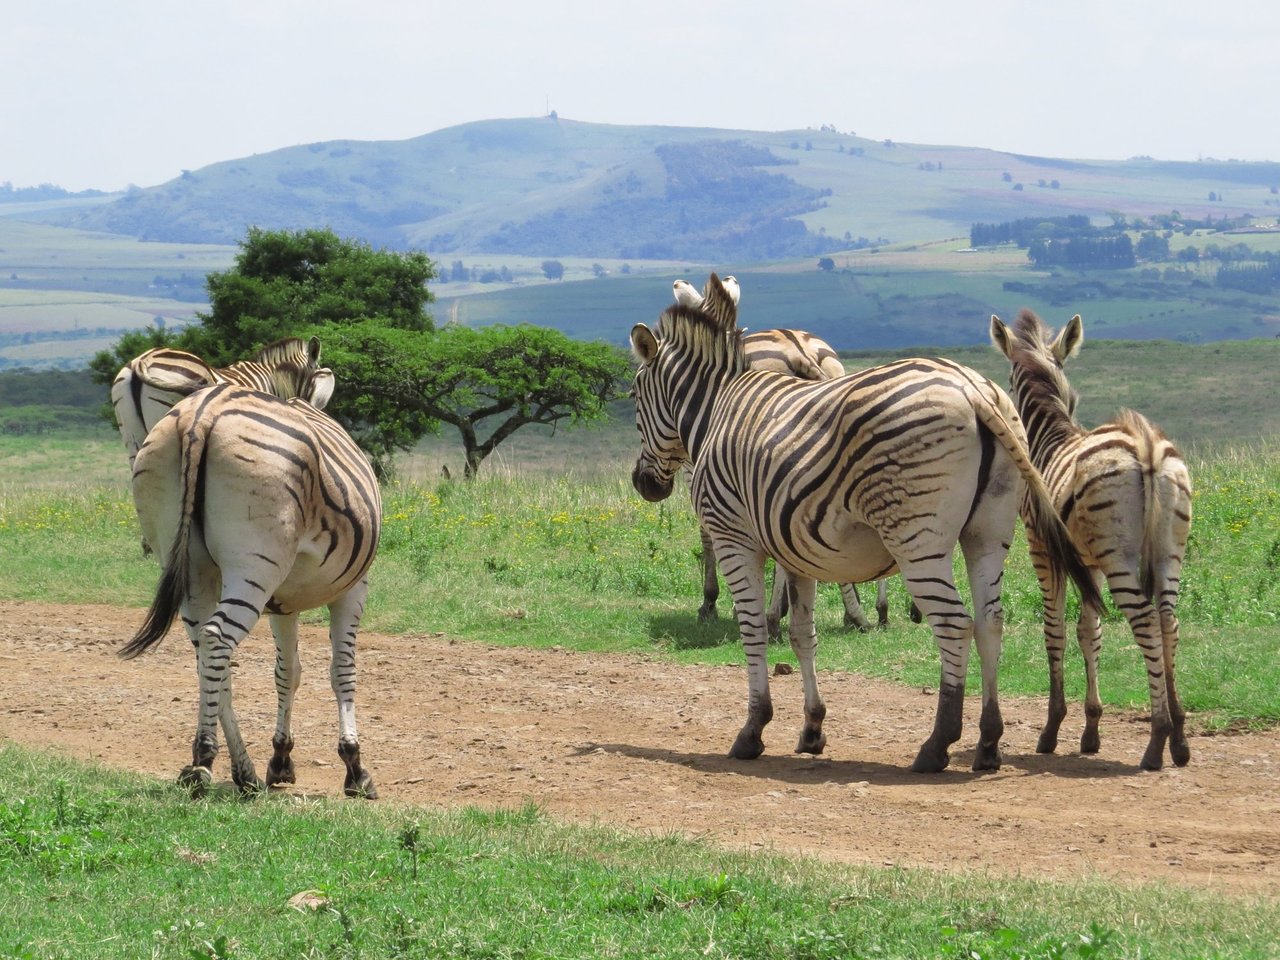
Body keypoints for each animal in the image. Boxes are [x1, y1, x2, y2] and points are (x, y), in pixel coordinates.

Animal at [119, 381, 378, 798]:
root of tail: (203, 411)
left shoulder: (283, 604)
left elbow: (288, 672)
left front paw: (281, 760)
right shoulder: (353, 589)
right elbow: (342, 671)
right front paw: (354, 767)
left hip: (192, 567)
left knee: (207, 653)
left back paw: (244, 772)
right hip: (255, 564)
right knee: (217, 638)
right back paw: (203, 759)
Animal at [988, 312, 1198, 773]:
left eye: (1008, 382)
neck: (1051, 439)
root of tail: (1144, 444)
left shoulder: (1044, 550)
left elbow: (1054, 630)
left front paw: (1051, 729)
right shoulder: (1089, 562)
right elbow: (1090, 631)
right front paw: (1091, 729)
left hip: (1119, 556)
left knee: (1145, 621)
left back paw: (1157, 740)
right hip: (1168, 551)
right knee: (1168, 621)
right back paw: (1179, 738)